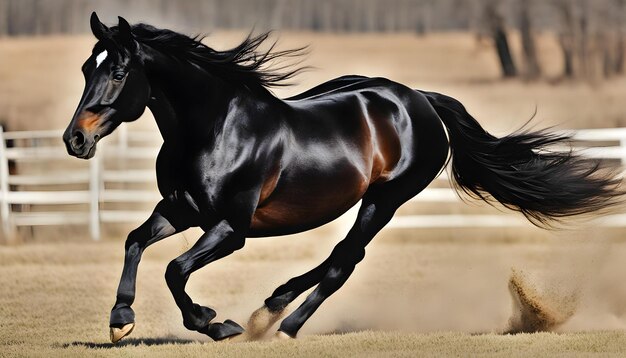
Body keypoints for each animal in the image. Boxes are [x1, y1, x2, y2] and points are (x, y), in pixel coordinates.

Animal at [63, 14, 620, 344]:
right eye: (86, 68)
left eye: (117, 72)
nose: (75, 139)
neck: (216, 128)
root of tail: (418, 99)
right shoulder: (181, 210)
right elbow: (136, 242)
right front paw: (121, 319)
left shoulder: (231, 228)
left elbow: (175, 270)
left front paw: (216, 324)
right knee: (338, 257)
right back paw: (272, 306)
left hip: (385, 199)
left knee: (345, 260)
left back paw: (283, 325)